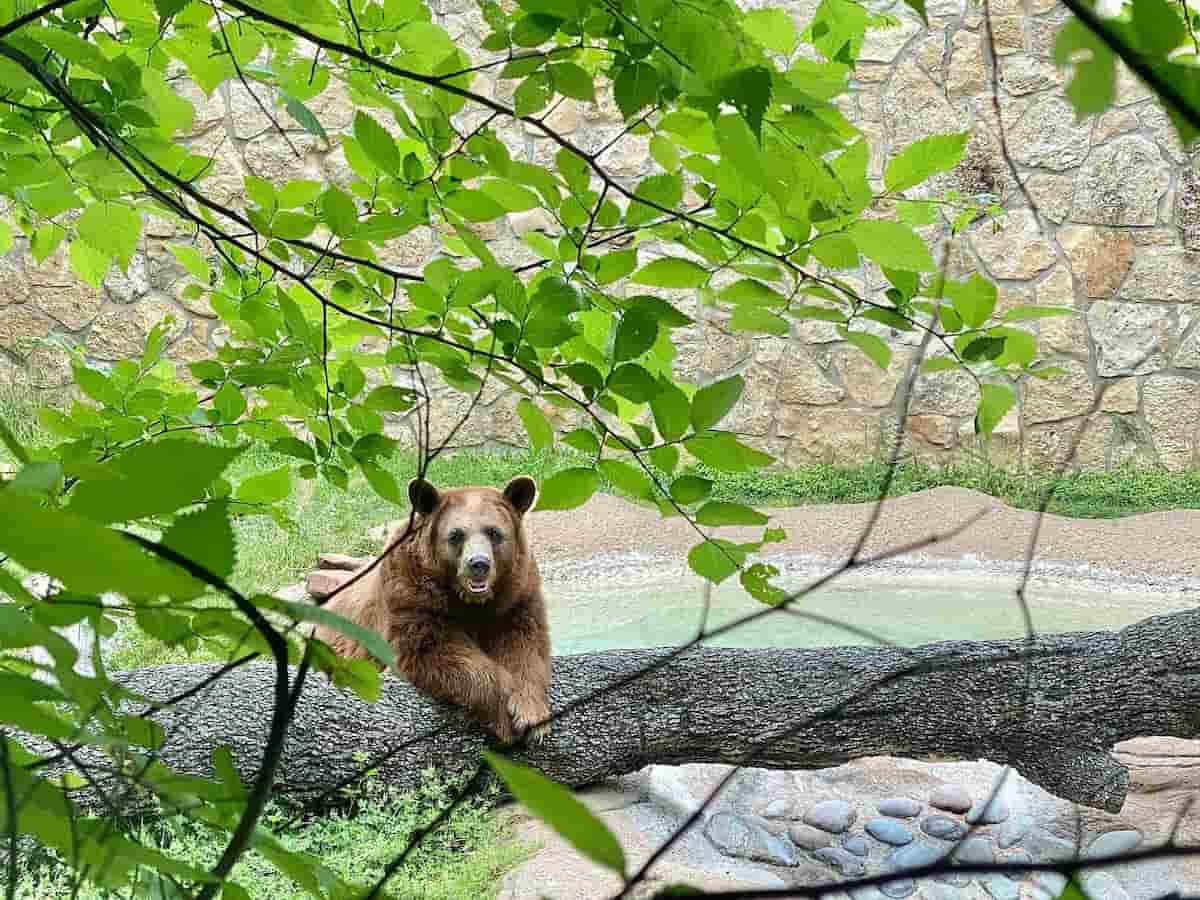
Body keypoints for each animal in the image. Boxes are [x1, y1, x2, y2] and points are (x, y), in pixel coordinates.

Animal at [311, 475, 551, 744]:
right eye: (456, 535)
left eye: (494, 532)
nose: (478, 564)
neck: (470, 602)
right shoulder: (411, 596)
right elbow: (433, 650)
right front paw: (504, 718)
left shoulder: (516, 598)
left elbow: (524, 646)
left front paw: (531, 717)